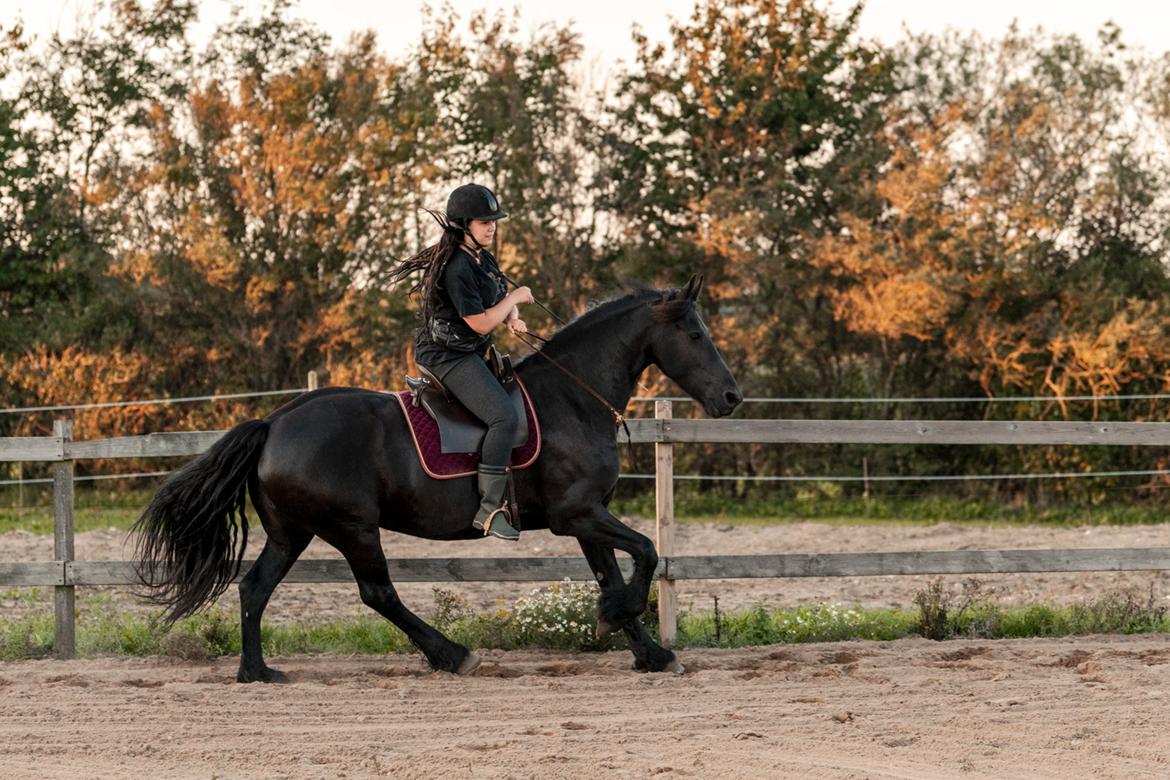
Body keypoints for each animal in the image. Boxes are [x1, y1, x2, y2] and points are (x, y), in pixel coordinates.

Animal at [134, 275, 739, 682]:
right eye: (693, 333)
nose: (732, 397)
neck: (573, 398)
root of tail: (275, 422)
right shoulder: (577, 515)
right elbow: (646, 553)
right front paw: (620, 622)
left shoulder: (587, 518)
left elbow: (614, 574)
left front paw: (647, 649)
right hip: (352, 528)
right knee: (377, 593)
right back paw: (452, 654)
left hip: (293, 531)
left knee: (255, 587)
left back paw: (256, 671)